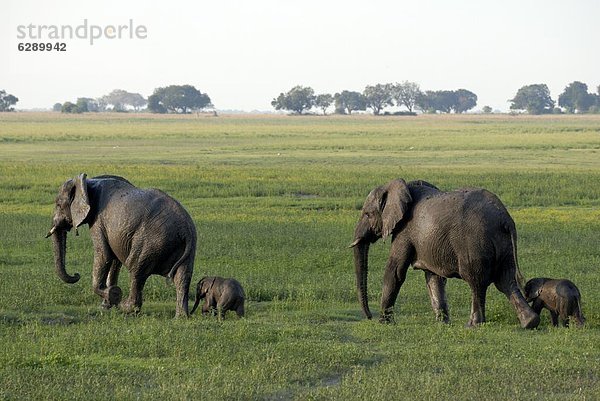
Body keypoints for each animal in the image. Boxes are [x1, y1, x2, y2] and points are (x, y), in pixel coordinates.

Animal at [47, 173, 197, 318]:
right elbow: (114, 260)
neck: (89, 182)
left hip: (152, 242)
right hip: (186, 247)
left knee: (136, 271)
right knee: (182, 277)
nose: (76, 274)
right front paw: (105, 306)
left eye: (58, 205)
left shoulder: (98, 220)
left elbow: (104, 254)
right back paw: (180, 317)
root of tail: (186, 230)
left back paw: (125, 308)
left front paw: (113, 295)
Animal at [350, 179, 540, 328]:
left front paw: (384, 323)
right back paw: (530, 323)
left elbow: (395, 271)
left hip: (474, 243)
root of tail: (505, 219)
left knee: (476, 282)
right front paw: (442, 323)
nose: (369, 317)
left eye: (367, 214)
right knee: (506, 281)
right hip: (504, 245)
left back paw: (473, 325)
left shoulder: (404, 231)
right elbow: (434, 277)